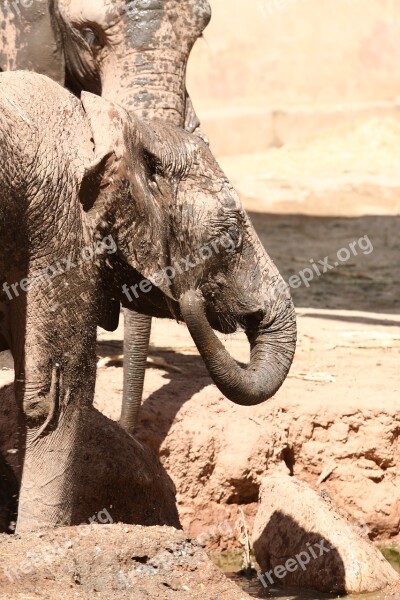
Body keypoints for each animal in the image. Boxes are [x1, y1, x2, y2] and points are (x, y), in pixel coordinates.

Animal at [0, 71, 296, 536]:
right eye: (231, 235)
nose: (191, 295)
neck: (122, 127)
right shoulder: (60, 227)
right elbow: (55, 398)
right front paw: (42, 536)